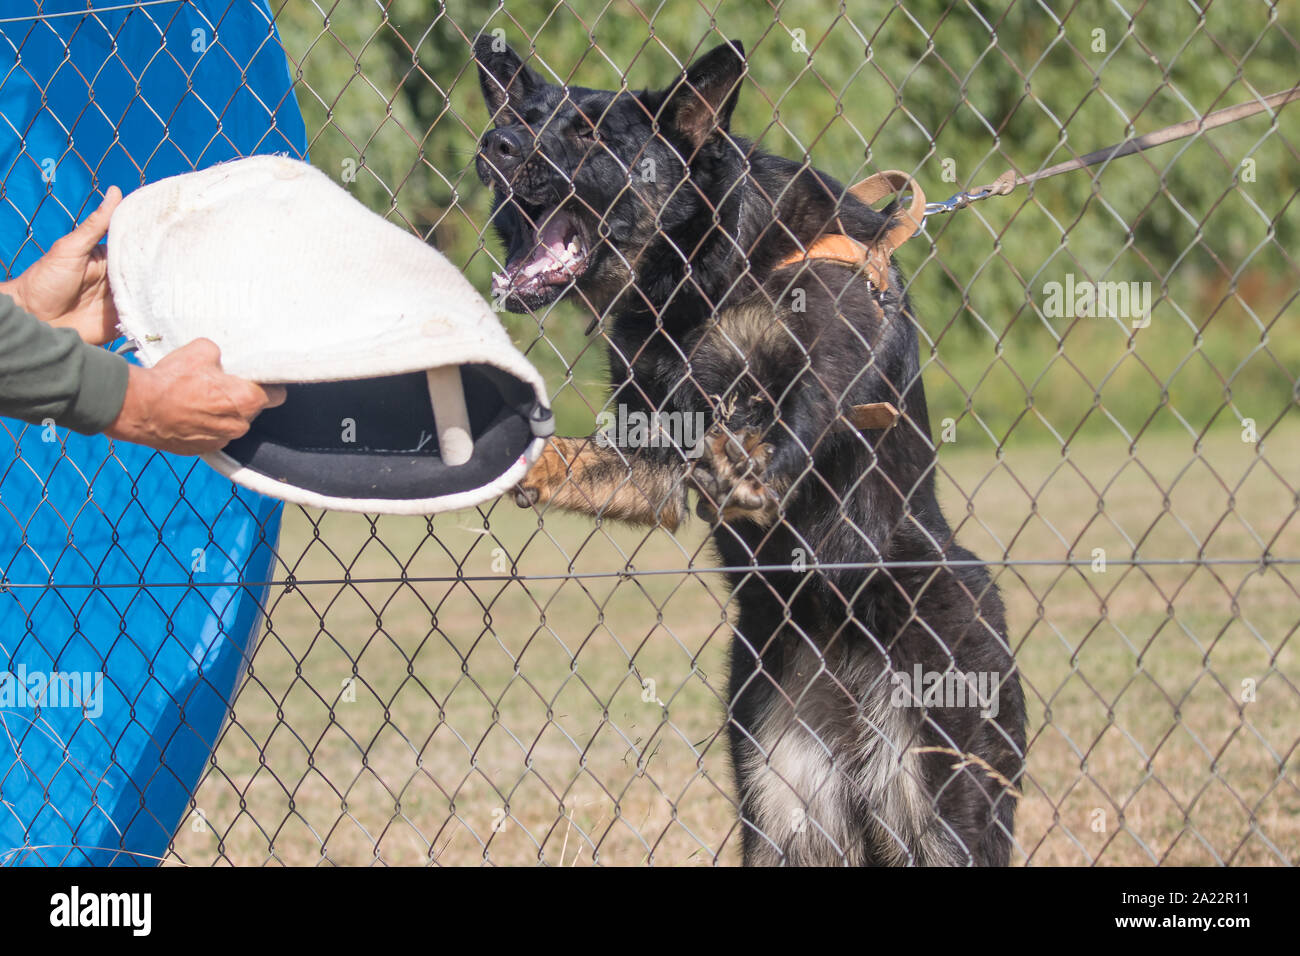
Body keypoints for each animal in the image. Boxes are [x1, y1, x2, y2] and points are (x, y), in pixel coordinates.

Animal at [475, 35, 1024, 868]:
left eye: (592, 136)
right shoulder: (654, 455)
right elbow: (591, 460)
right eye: (526, 117)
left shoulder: (828, 344)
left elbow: (796, 413)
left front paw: (749, 461)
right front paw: (521, 458)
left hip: (941, 814)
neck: (694, 278)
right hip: (784, 815)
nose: (495, 144)